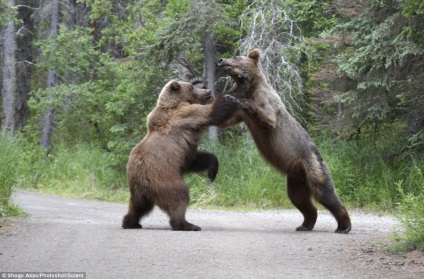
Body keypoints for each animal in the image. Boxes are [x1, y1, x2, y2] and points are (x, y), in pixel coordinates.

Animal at [121, 80, 217, 231]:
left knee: (136, 208)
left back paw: (131, 223)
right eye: (192, 87)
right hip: (163, 179)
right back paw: (187, 224)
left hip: (137, 191)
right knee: (179, 196)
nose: (207, 91)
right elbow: (205, 113)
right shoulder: (184, 115)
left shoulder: (185, 154)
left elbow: (197, 160)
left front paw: (212, 172)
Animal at [215, 49, 352, 234]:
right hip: (297, 178)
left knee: (324, 192)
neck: (253, 87)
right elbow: (223, 121)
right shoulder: (240, 115)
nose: (221, 60)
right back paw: (305, 224)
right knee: (299, 198)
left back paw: (343, 226)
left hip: (313, 166)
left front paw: (234, 98)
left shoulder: (266, 101)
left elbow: (268, 119)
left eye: (236, 56)